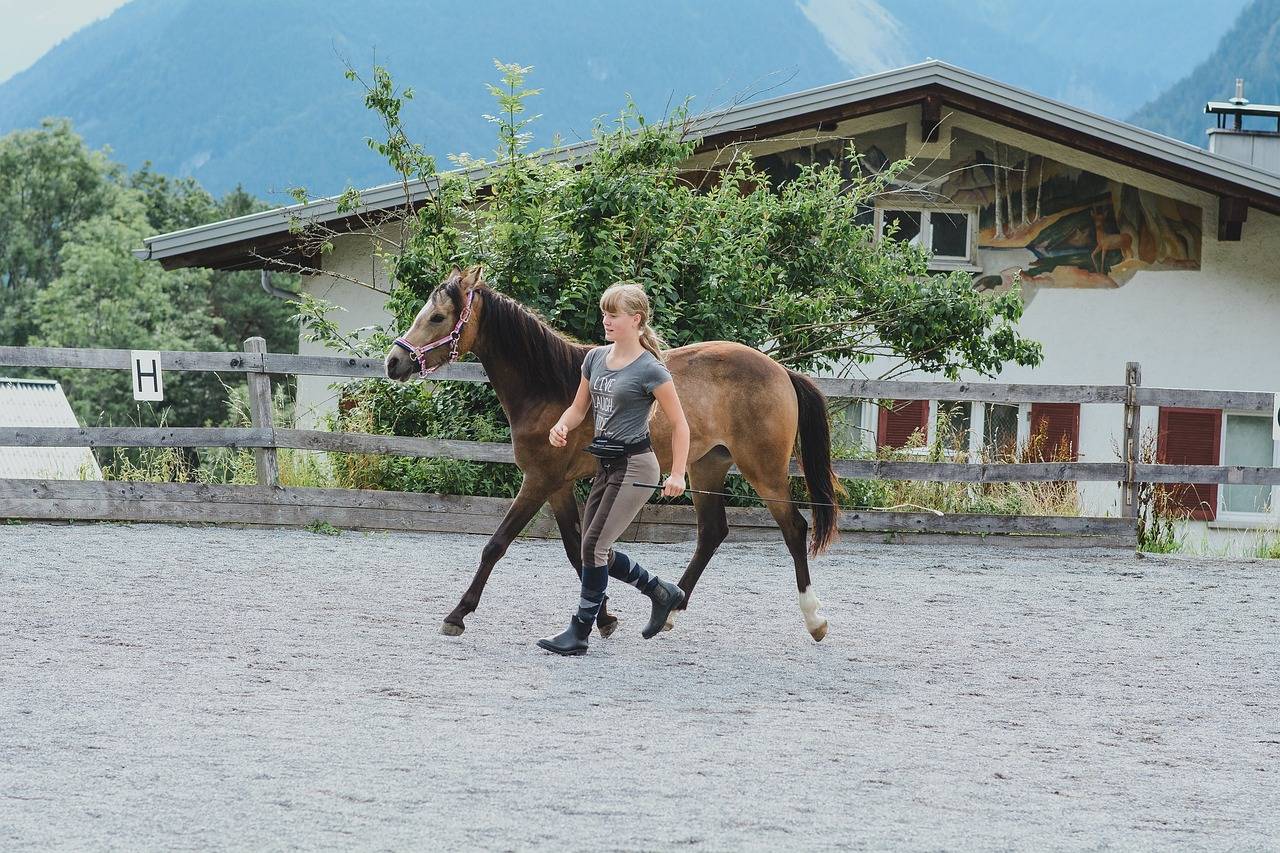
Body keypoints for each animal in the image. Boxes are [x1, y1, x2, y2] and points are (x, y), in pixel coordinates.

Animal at [378, 266, 839, 637]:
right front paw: (603, 618)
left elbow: (497, 544)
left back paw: (815, 619)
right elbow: (576, 549)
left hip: (764, 471)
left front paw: (457, 615)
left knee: (794, 529)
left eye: (438, 317)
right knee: (712, 533)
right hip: (706, 468)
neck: (551, 387)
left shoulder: (538, 480)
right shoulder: (557, 486)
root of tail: (781, 370)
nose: (393, 362)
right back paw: (671, 609)